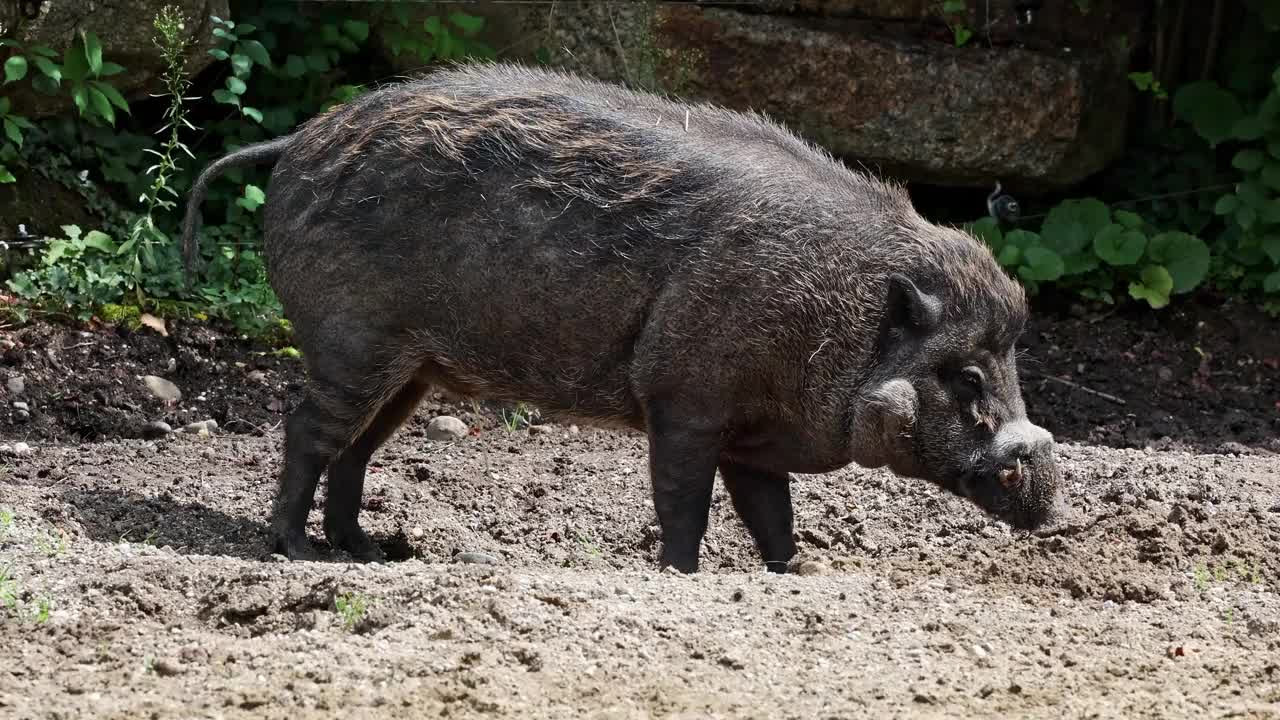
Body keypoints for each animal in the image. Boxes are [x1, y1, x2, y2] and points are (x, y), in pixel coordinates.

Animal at [180, 61, 1059, 571]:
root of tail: (297, 141)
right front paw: (681, 575)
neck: (841, 323)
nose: (1052, 515)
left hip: (411, 369)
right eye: (968, 376)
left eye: (1012, 359)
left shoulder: (755, 439)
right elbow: (684, 504)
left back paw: (369, 554)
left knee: (359, 449)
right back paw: (296, 551)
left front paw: (797, 576)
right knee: (309, 430)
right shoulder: (684, 400)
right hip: (350, 342)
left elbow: (772, 517)